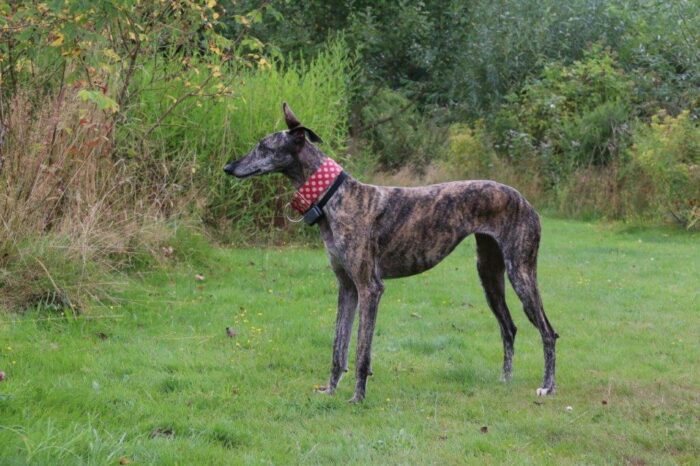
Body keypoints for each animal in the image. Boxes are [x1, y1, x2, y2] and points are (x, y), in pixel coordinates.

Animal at [224, 103, 558, 402]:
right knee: (509, 327)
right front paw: (329, 391)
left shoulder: (370, 287)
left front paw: (357, 398)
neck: (335, 197)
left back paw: (547, 387)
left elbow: (361, 351)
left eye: (263, 147)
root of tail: (527, 203)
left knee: (548, 332)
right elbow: (338, 346)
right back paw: (505, 380)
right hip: (489, 274)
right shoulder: (347, 287)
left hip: (521, 273)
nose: (228, 167)